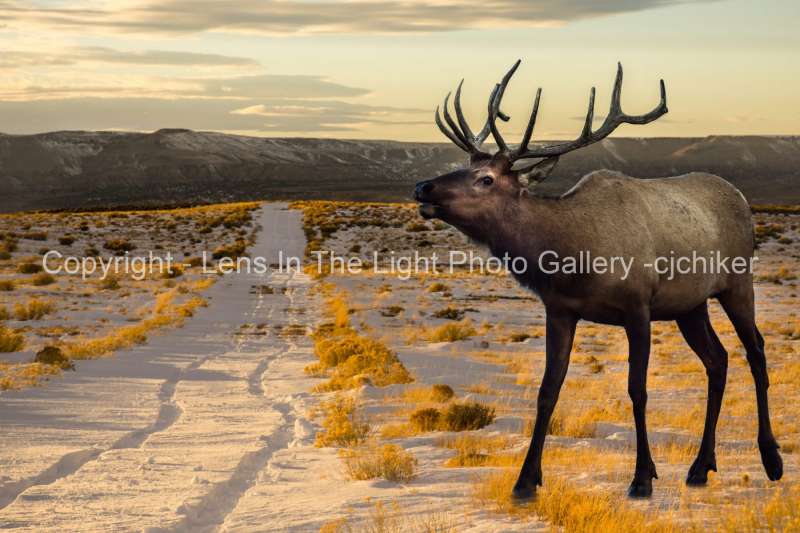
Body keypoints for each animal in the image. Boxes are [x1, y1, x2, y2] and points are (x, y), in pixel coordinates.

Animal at [414, 61, 783, 499]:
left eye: (486, 178)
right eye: (467, 166)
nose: (423, 186)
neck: (572, 258)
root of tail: (742, 199)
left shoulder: (638, 306)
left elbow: (637, 389)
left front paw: (642, 477)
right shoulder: (560, 310)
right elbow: (547, 391)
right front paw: (526, 480)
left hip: (738, 282)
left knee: (756, 351)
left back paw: (771, 459)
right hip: (690, 305)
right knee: (718, 360)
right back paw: (700, 466)